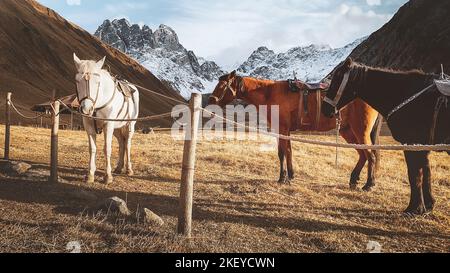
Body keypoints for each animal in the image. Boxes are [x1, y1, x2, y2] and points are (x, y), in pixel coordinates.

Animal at [73, 53, 140, 183]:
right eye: (77, 81)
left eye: (97, 82)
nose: (87, 109)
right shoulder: (88, 125)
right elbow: (92, 148)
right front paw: (90, 174)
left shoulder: (108, 125)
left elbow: (107, 148)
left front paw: (107, 176)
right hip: (116, 128)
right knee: (122, 143)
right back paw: (119, 167)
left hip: (129, 125)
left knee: (128, 143)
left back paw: (129, 169)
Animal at [209, 70, 382, 189]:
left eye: (223, 85)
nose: (211, 100)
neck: (269, 93)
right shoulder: (286, 131)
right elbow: (288, 152)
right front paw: (290, 176)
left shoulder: (281, 129)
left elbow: (282, 153)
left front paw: (282, 178)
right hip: (347, 131)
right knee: (363, 155)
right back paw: (354, 179)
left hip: (360, 131)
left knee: (371, 155)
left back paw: (369, 184)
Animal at [322, 58, 448, 215]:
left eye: (337, 78)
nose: (325, 109)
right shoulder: (422, 146)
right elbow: (426, 172)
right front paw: (428, 205)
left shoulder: (412, 144)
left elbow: (415, 174)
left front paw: (414, 208)